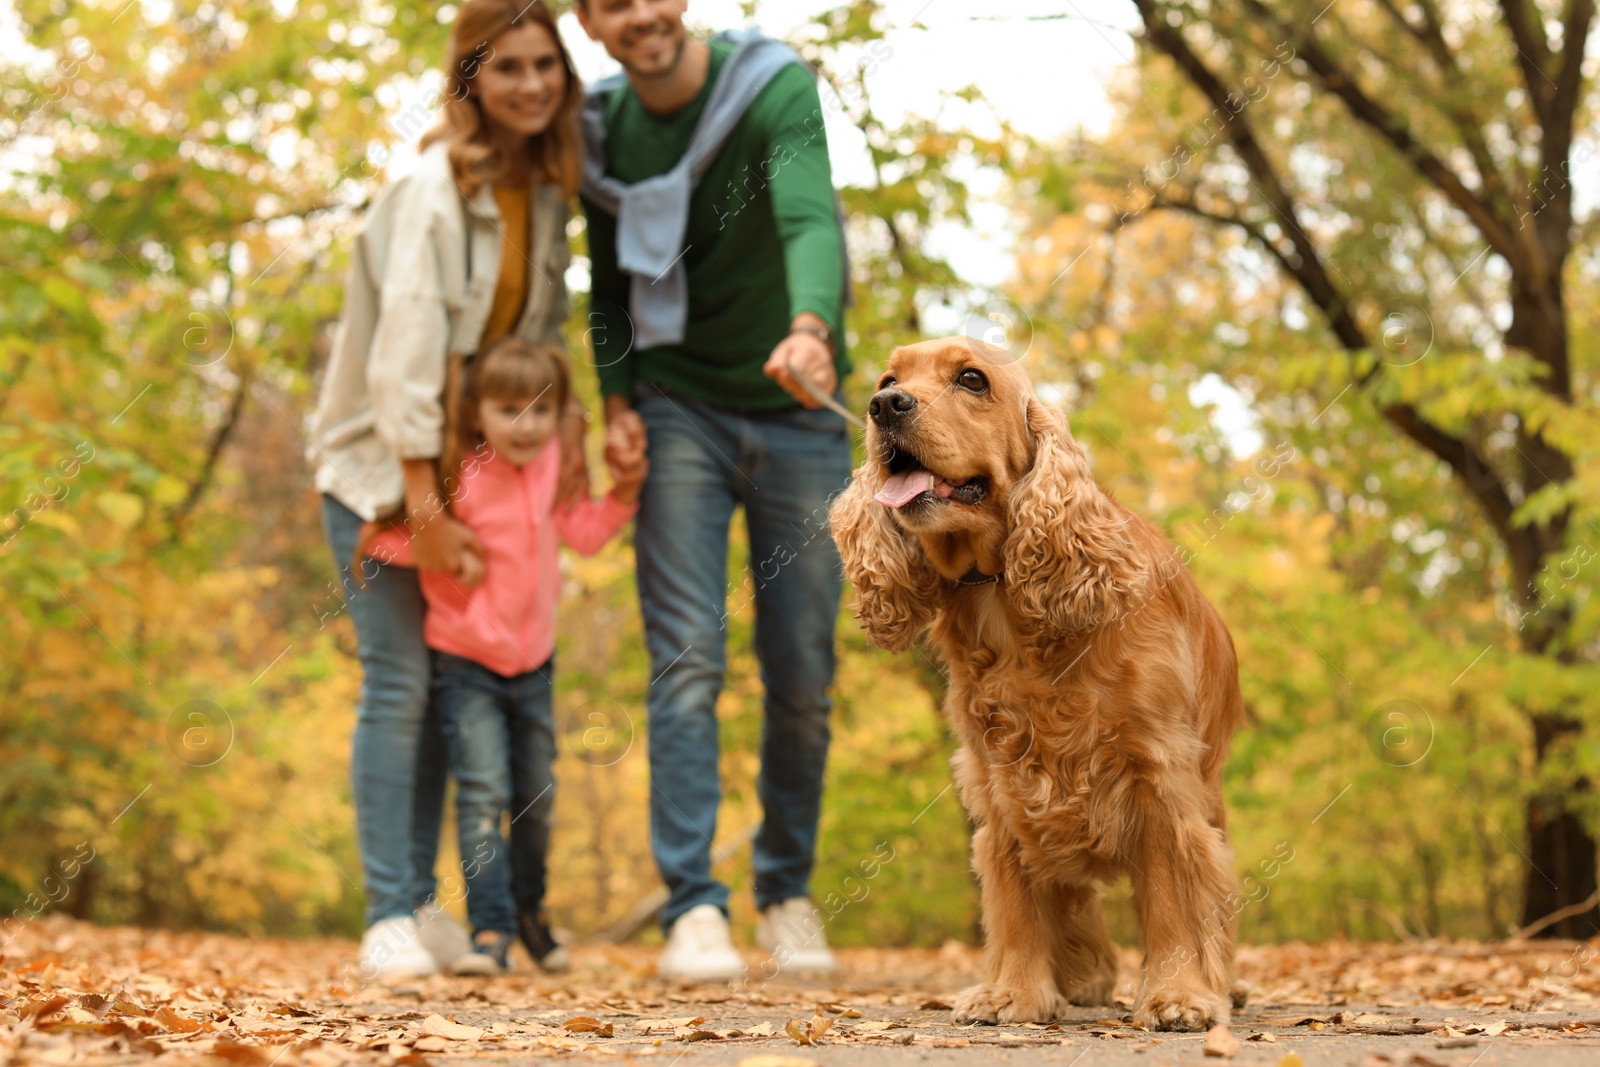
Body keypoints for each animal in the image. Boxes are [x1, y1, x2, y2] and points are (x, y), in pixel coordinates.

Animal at [832, 337, 1241, 1030]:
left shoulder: (1158, 771)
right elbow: (1014, 896)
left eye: (972, 380)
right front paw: (1012, 993)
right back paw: (1085, 975)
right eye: (889, 378)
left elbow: (1174, 892)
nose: (884, 406)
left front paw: (1180, 995)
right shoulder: (1001, 776)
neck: (1003, 596)